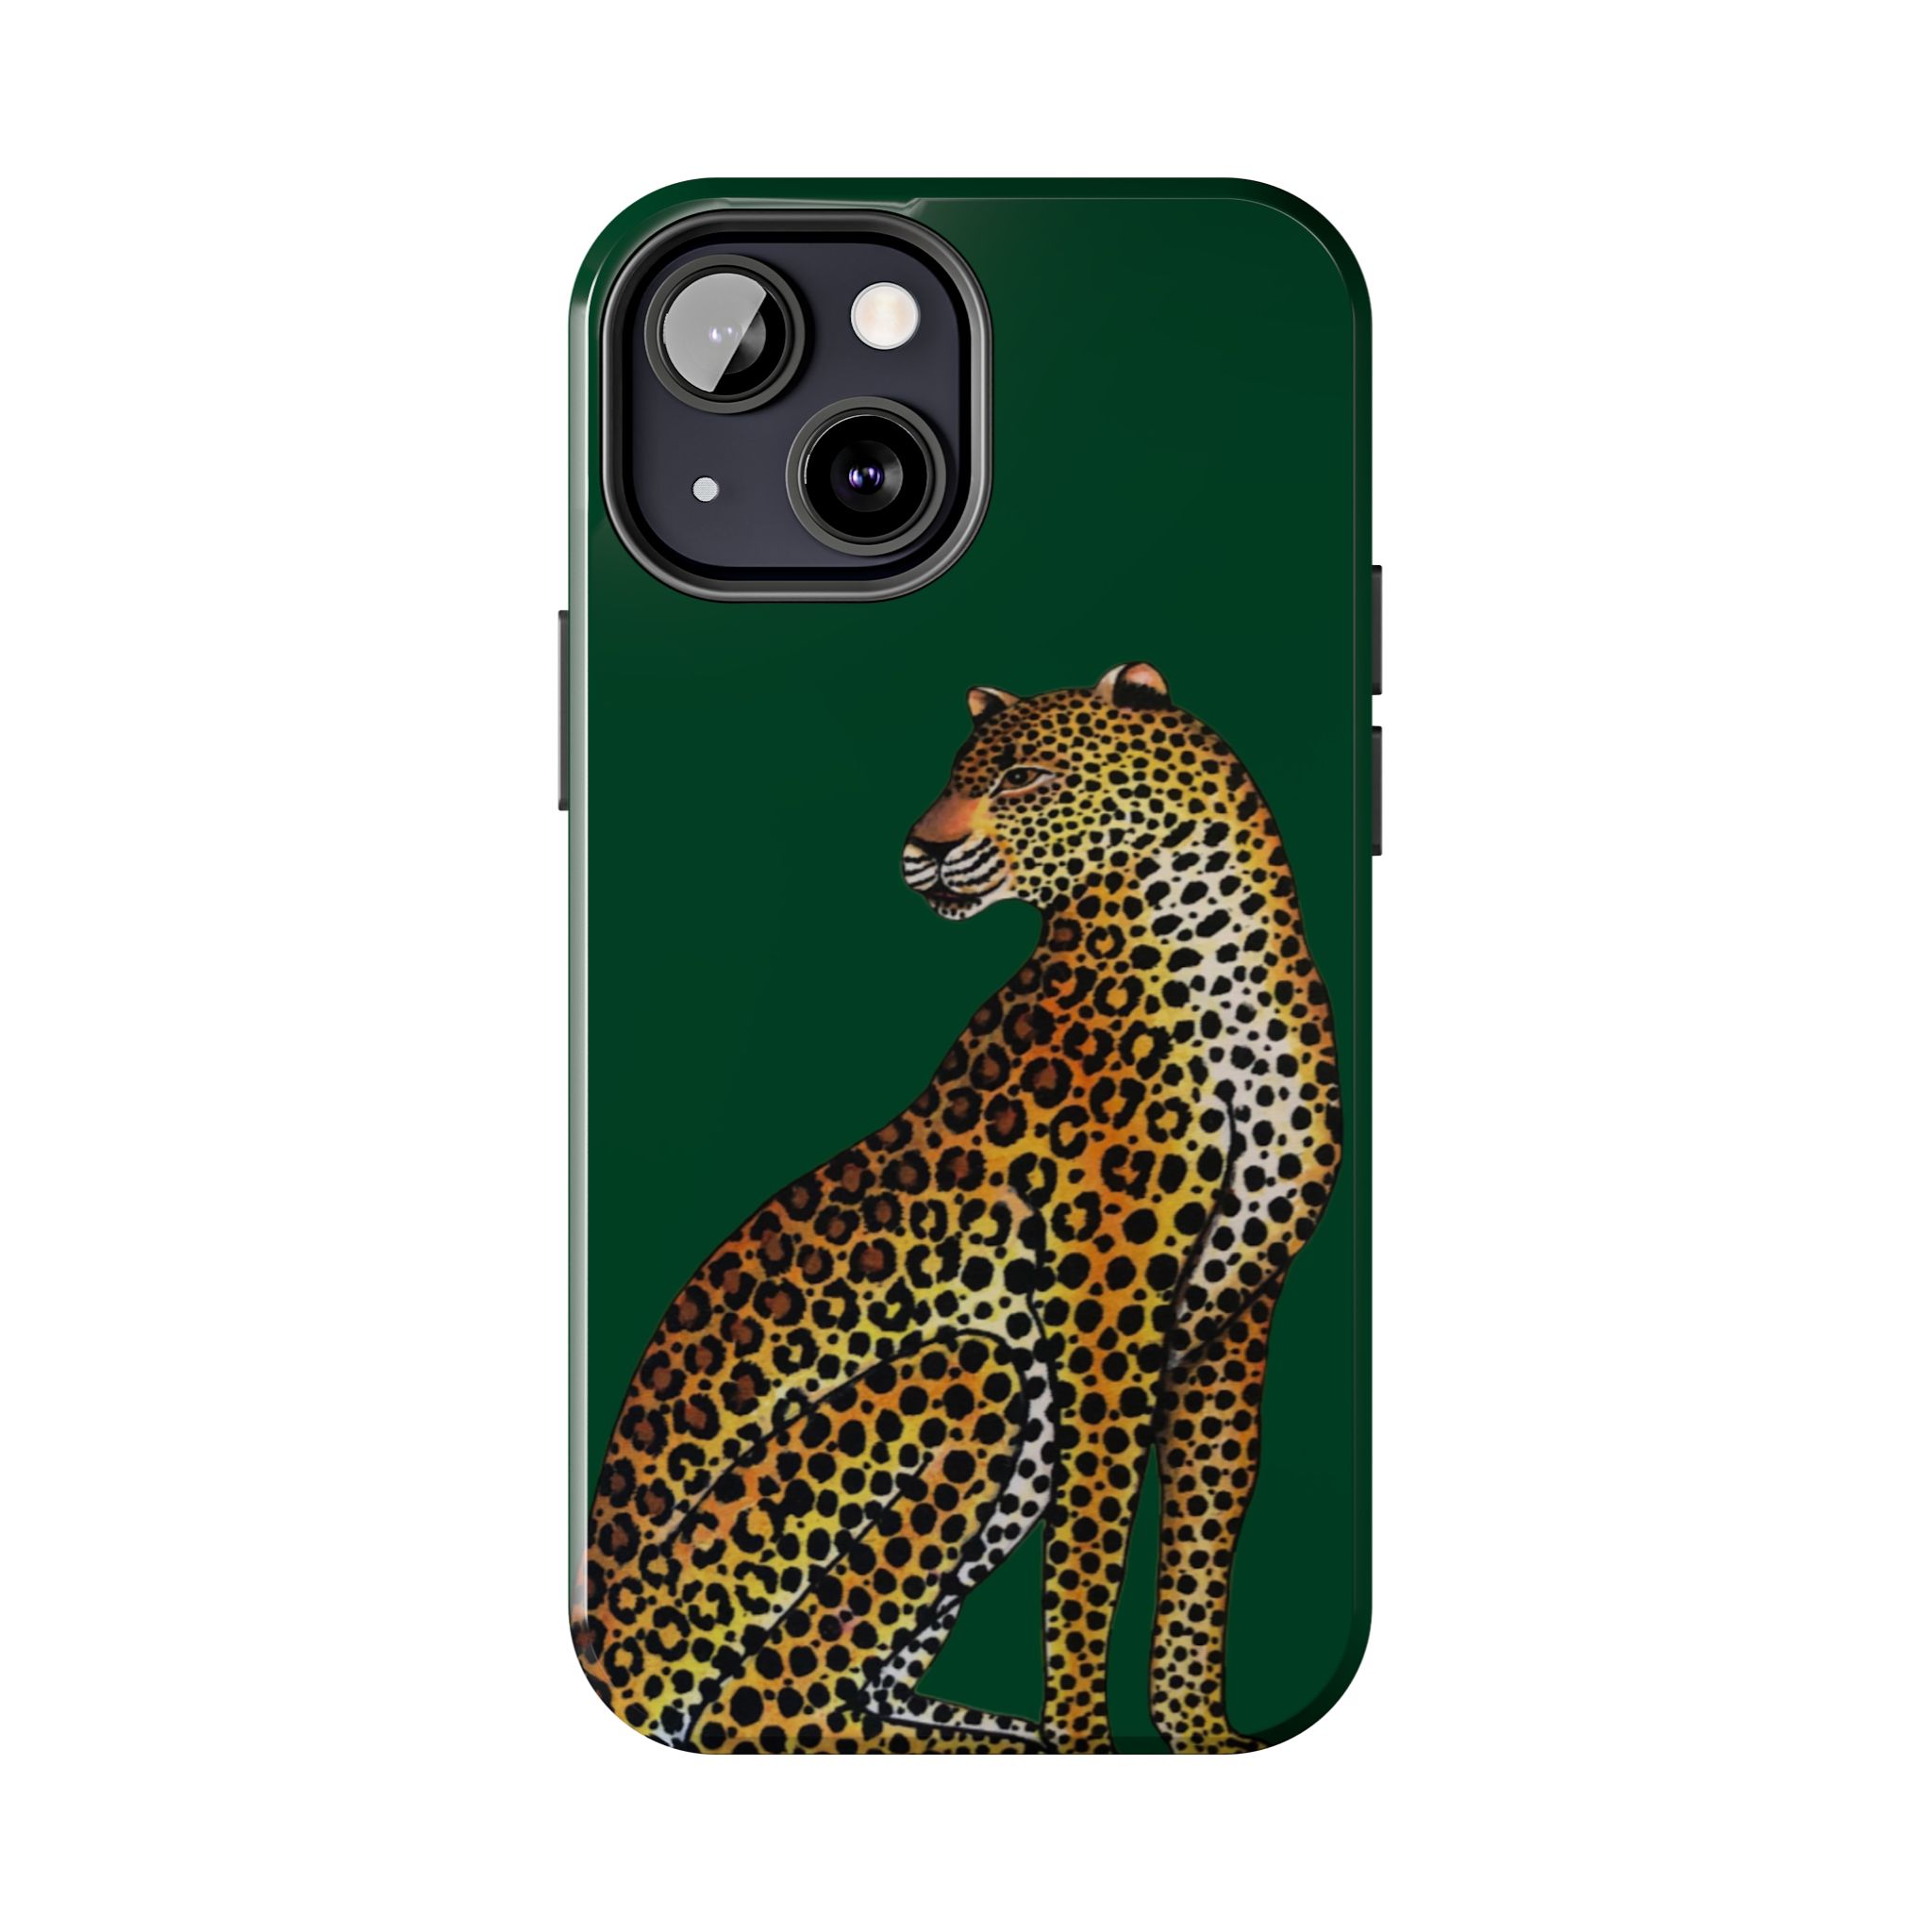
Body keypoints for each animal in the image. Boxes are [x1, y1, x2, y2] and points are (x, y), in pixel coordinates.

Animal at [572, 661, 1341, 1753]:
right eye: (953, 778)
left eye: (1022, 777)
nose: (922, 849)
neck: (1218, 946)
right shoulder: (1106, 1319)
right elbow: (1090, 1550)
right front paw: (1088, 1742)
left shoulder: (1236, 1316)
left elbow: (1203, 1535)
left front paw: (1198, 1735)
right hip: (971, 1379)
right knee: (769, 1706)